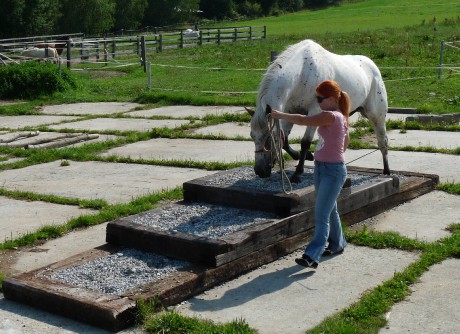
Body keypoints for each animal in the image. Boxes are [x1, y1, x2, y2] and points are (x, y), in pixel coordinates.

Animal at [250, 39, 390, 183]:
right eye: (252, 136)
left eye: (268, 138)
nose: (259, 171)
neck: (302, 73)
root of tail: (373, 67)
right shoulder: (289, 111)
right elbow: (285, 141)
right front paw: (305, 156)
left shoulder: (315, 112)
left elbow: (305, 142)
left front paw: (297, 173)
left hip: (376, 115)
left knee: (382, 140)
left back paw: (386, 171)